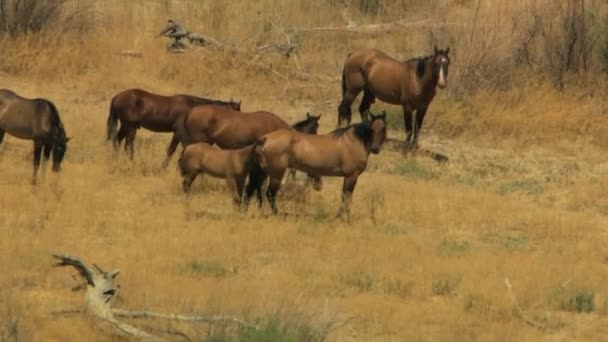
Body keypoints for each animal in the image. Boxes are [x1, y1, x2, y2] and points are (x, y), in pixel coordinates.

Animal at [105, 88, 241, 167]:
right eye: (236, 112)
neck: (192, 108)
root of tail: (117, 97)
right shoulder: (180, 132)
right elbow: (182, 148)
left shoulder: (176, 134)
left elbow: (171, 150)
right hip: (130, 127)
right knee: (128, 146)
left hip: (125, 126)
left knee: (117, 141)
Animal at [245, 112, 388, 219]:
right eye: (372, 129)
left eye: (383, 128)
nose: (375, 148)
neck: (352, 141)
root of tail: (264, 139)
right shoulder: (351, 176)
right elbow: (347, 197)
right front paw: (345, 217)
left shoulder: (347, 177)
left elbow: (344, 196)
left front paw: (339, 216)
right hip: (276, 173)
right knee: (270, 193)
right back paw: (277, 214)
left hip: (262, 173)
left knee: (252, 190)